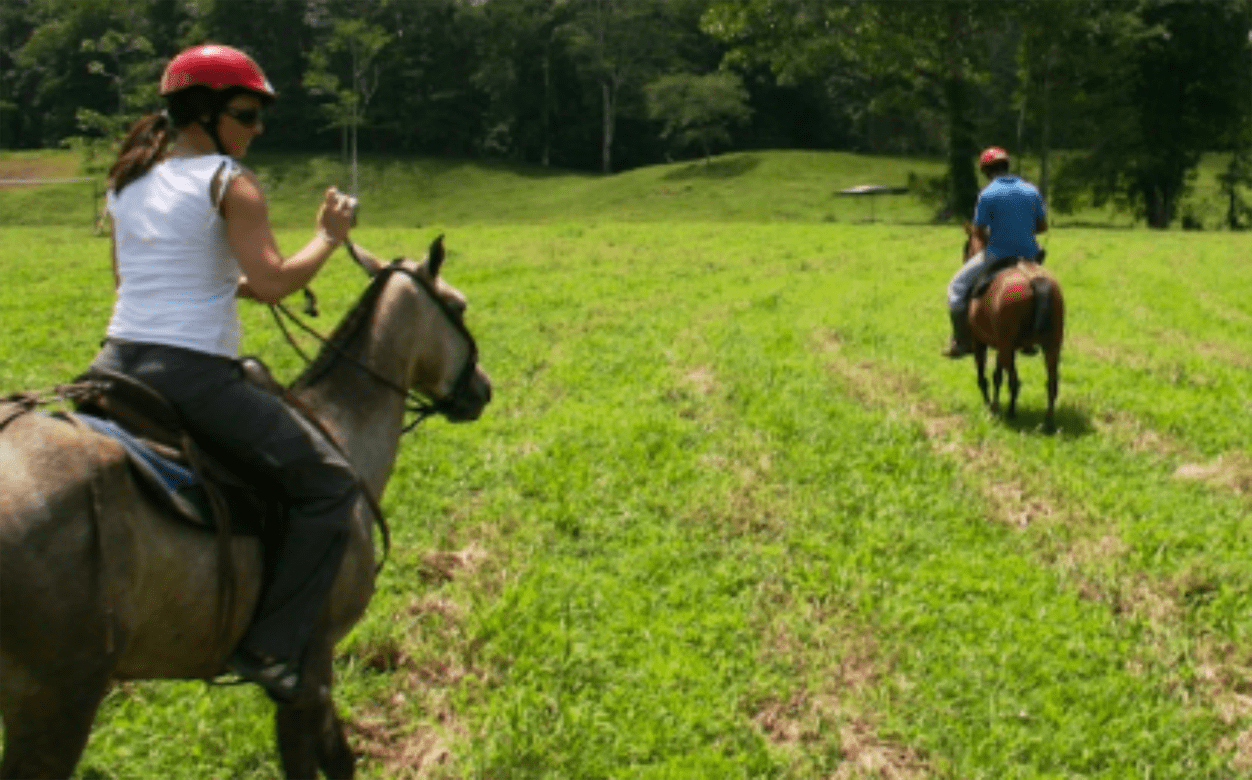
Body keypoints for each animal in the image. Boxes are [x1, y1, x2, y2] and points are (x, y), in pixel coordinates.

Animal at [0, 235, 491, 779]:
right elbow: (319, 759)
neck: (335, 430)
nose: (483, 388)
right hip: (57, 700)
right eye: (458, 305)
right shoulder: (310, 666)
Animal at [960, 222, 1065, 432]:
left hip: (1007, 346)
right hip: (1052, 345)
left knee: (1014, 381)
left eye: (965, 248)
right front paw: (994, 405)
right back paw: (1048, 422)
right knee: (1051, 384)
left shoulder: (980, 343)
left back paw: (1010, 412)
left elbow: (984, 377)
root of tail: (1034, 279)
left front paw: (990, 406)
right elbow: (997, 375)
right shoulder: (1002, 346)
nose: (964, 260)